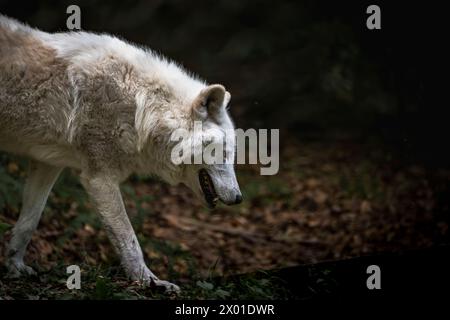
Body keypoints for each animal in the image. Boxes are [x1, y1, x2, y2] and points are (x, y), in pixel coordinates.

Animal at [0, 15, 243, 292]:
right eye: (225, 152)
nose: (239, 198)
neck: (142, 107)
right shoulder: (99, 178)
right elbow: (129, 239)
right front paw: (150, 282)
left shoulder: (47, 163)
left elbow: (28, 222)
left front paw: (14, 267)